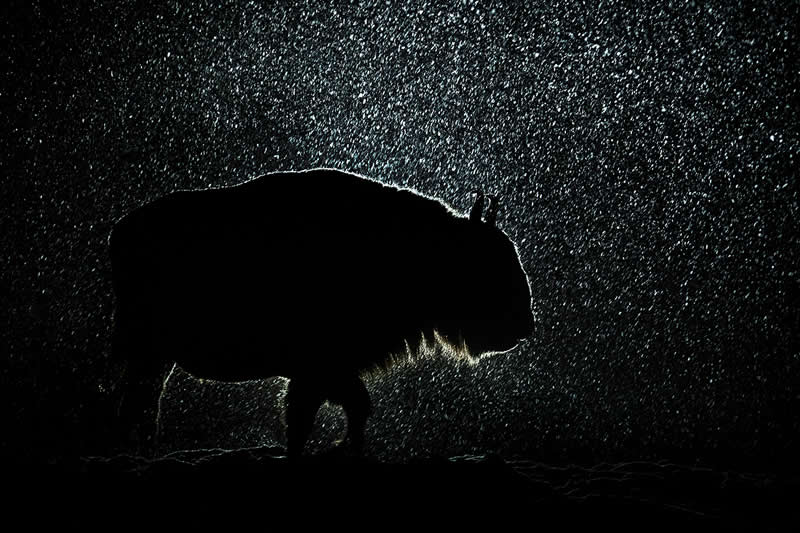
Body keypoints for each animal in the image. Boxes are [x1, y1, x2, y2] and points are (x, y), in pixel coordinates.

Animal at [109, 168, 534, 457]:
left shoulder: (326, 371)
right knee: (139, 401)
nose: (525, 324)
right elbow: (322, 413)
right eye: (490, 262)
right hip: (148, 352)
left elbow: (337, 410)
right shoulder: (321, 368)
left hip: (155, 357)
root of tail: (122, 229)